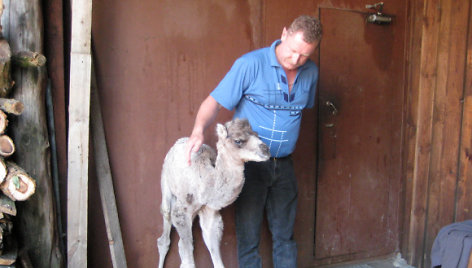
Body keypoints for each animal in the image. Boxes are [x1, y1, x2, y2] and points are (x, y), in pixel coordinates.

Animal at [158, 118, 270, 266]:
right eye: (238, 140)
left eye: (257, 134)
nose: (266, 149)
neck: (205, 183)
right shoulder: (181, 211)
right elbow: (189, 261)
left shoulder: (209, 212)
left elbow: (215, 257)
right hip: (165, 179)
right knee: (165, 226)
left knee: (182, 245)